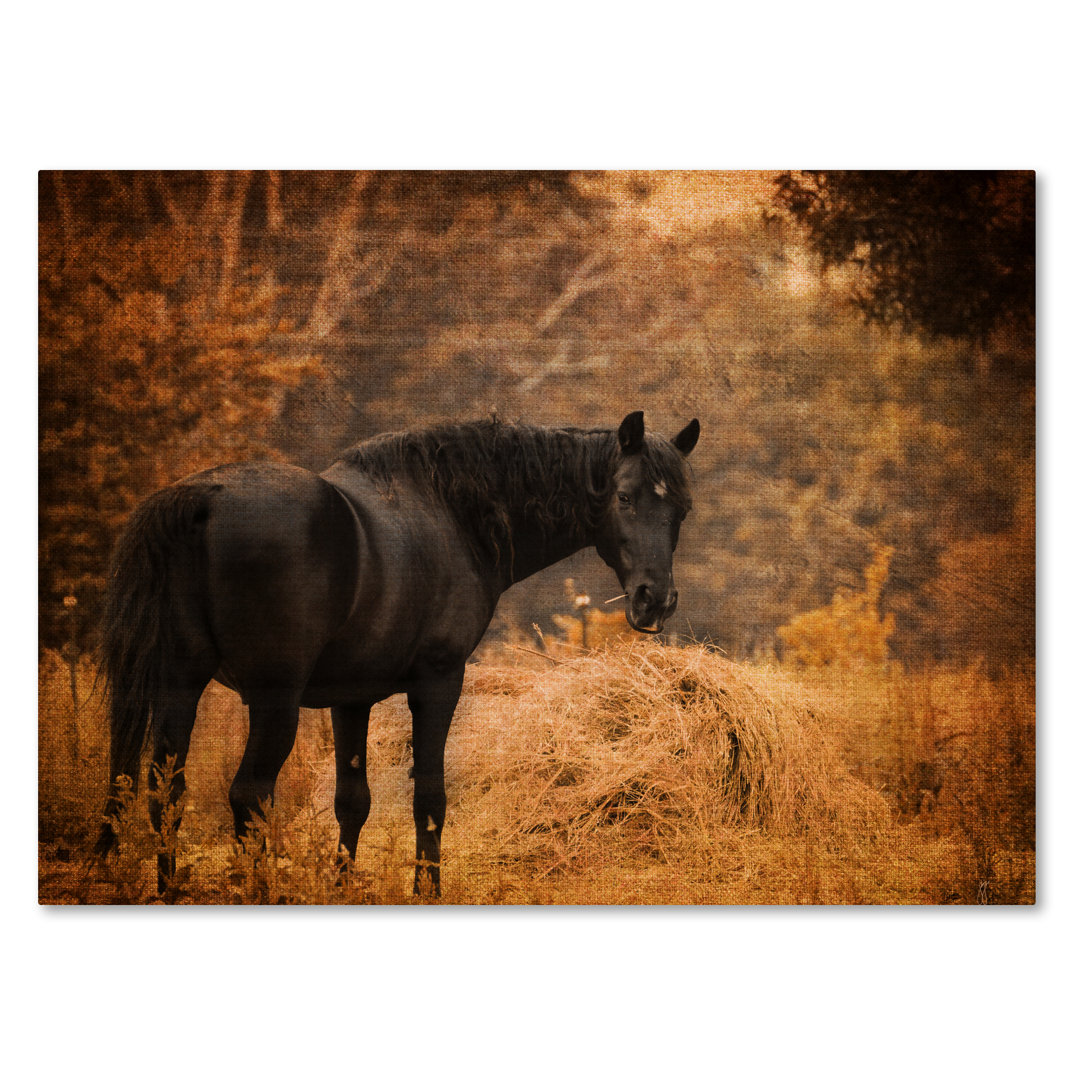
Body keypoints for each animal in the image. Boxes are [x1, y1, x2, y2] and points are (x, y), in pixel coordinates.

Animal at [95, 410, 700, 895]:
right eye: (624, 497)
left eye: (682, 511)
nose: (655, 600)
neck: (454, 515)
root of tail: (203, 499)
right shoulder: (438, 682)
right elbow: (429, 797)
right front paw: (426, 889)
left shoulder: (349, 700)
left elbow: (352, 800)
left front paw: (343, 887)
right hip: (273, 701)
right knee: (249, 795)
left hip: (180, 686)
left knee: (165, 790)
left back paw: (170, 889)